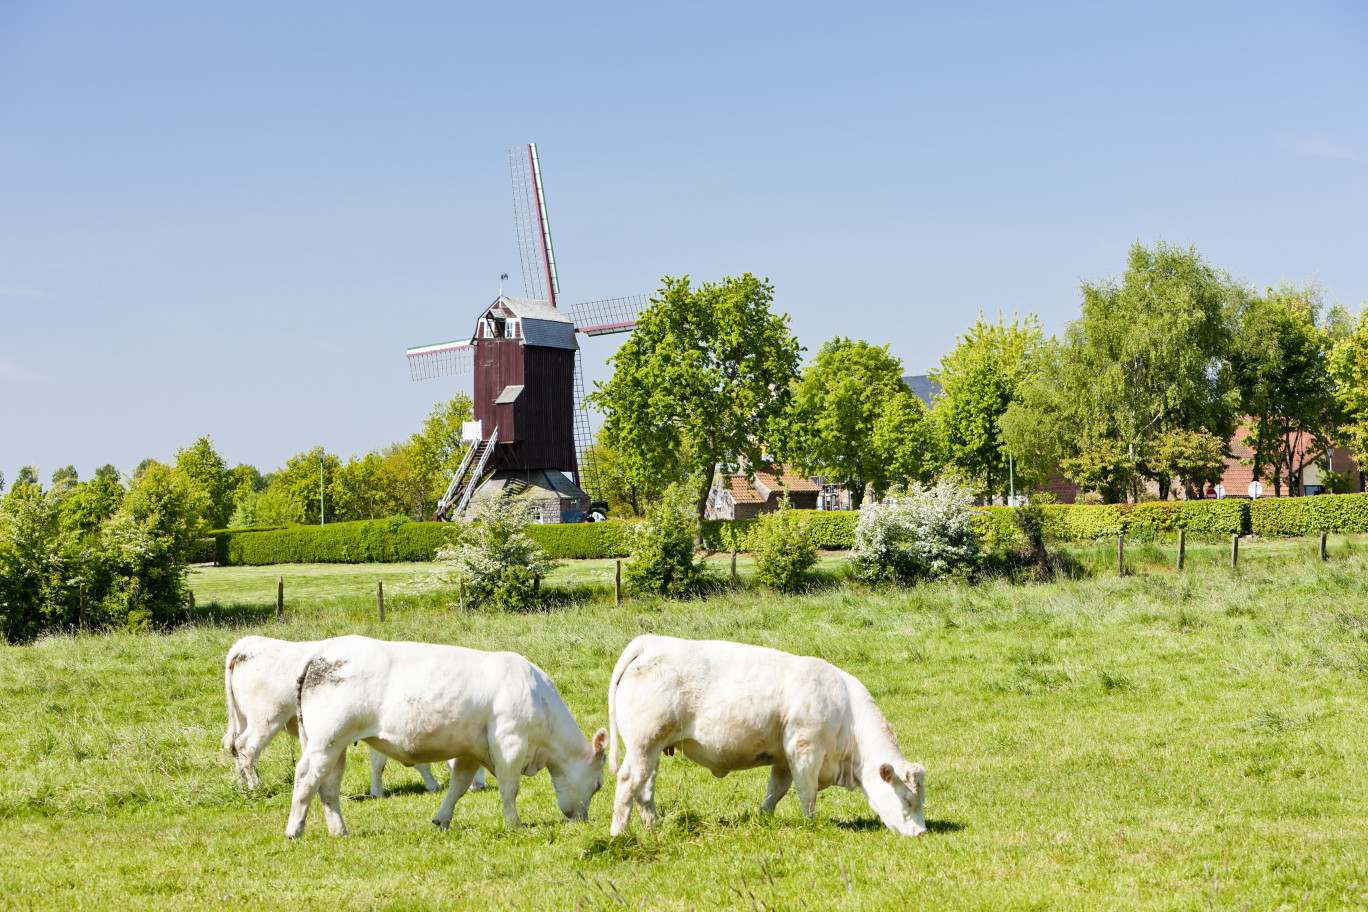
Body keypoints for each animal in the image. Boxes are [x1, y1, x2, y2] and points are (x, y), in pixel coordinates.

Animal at [221, 639, 484, 793]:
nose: (479, 786)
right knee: (246, 748)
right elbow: (419, 764)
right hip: (266, 719)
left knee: (236, 749)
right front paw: (433, 785)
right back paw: (257, 786)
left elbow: (379, 762)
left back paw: (243, 785)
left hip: (244, 719)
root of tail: (248, 644)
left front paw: (377, 792)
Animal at [285, 634, 607, 842]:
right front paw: (514, 824)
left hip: (334, 746)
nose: (583, 820)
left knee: (329, 786)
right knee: (306, 778)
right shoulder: (509, 744)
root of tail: (323, 648)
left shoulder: (470, 750)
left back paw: (339, 830)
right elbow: (509, 789)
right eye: (599, 785)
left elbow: (459, 786)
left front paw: (442, 820)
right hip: (326, 741)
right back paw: (294, 830)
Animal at [610, 639, 930, 836]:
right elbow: (806, 793)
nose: (921, 833)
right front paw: (811, 824)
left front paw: (763, 819)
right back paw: (619, 834)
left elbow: (775, 791)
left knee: (645, 791)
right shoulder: (804, 750)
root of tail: (652, 640)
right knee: (628, 783)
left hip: (653, 748)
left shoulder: (784, 758)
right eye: (906, 800)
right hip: (643, 744)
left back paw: (653, 827)